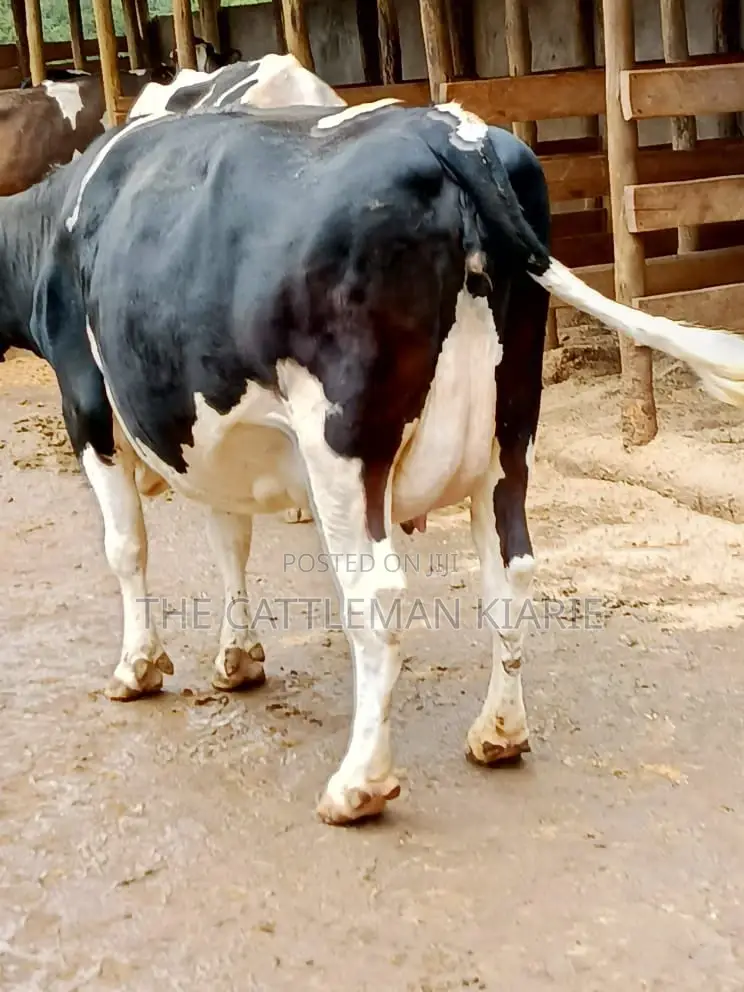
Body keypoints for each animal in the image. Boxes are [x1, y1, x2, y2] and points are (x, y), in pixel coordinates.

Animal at [4, 99, 744, 826]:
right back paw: (499, 733)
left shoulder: (85, 399)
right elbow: (229, 539)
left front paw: (138, 667)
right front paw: (237, 658)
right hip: (512, 426)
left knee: (376, 593)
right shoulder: (208, 437)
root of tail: (452, 131)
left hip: (344, 440)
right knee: (510, 568)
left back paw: (359, 783)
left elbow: (127, 546)